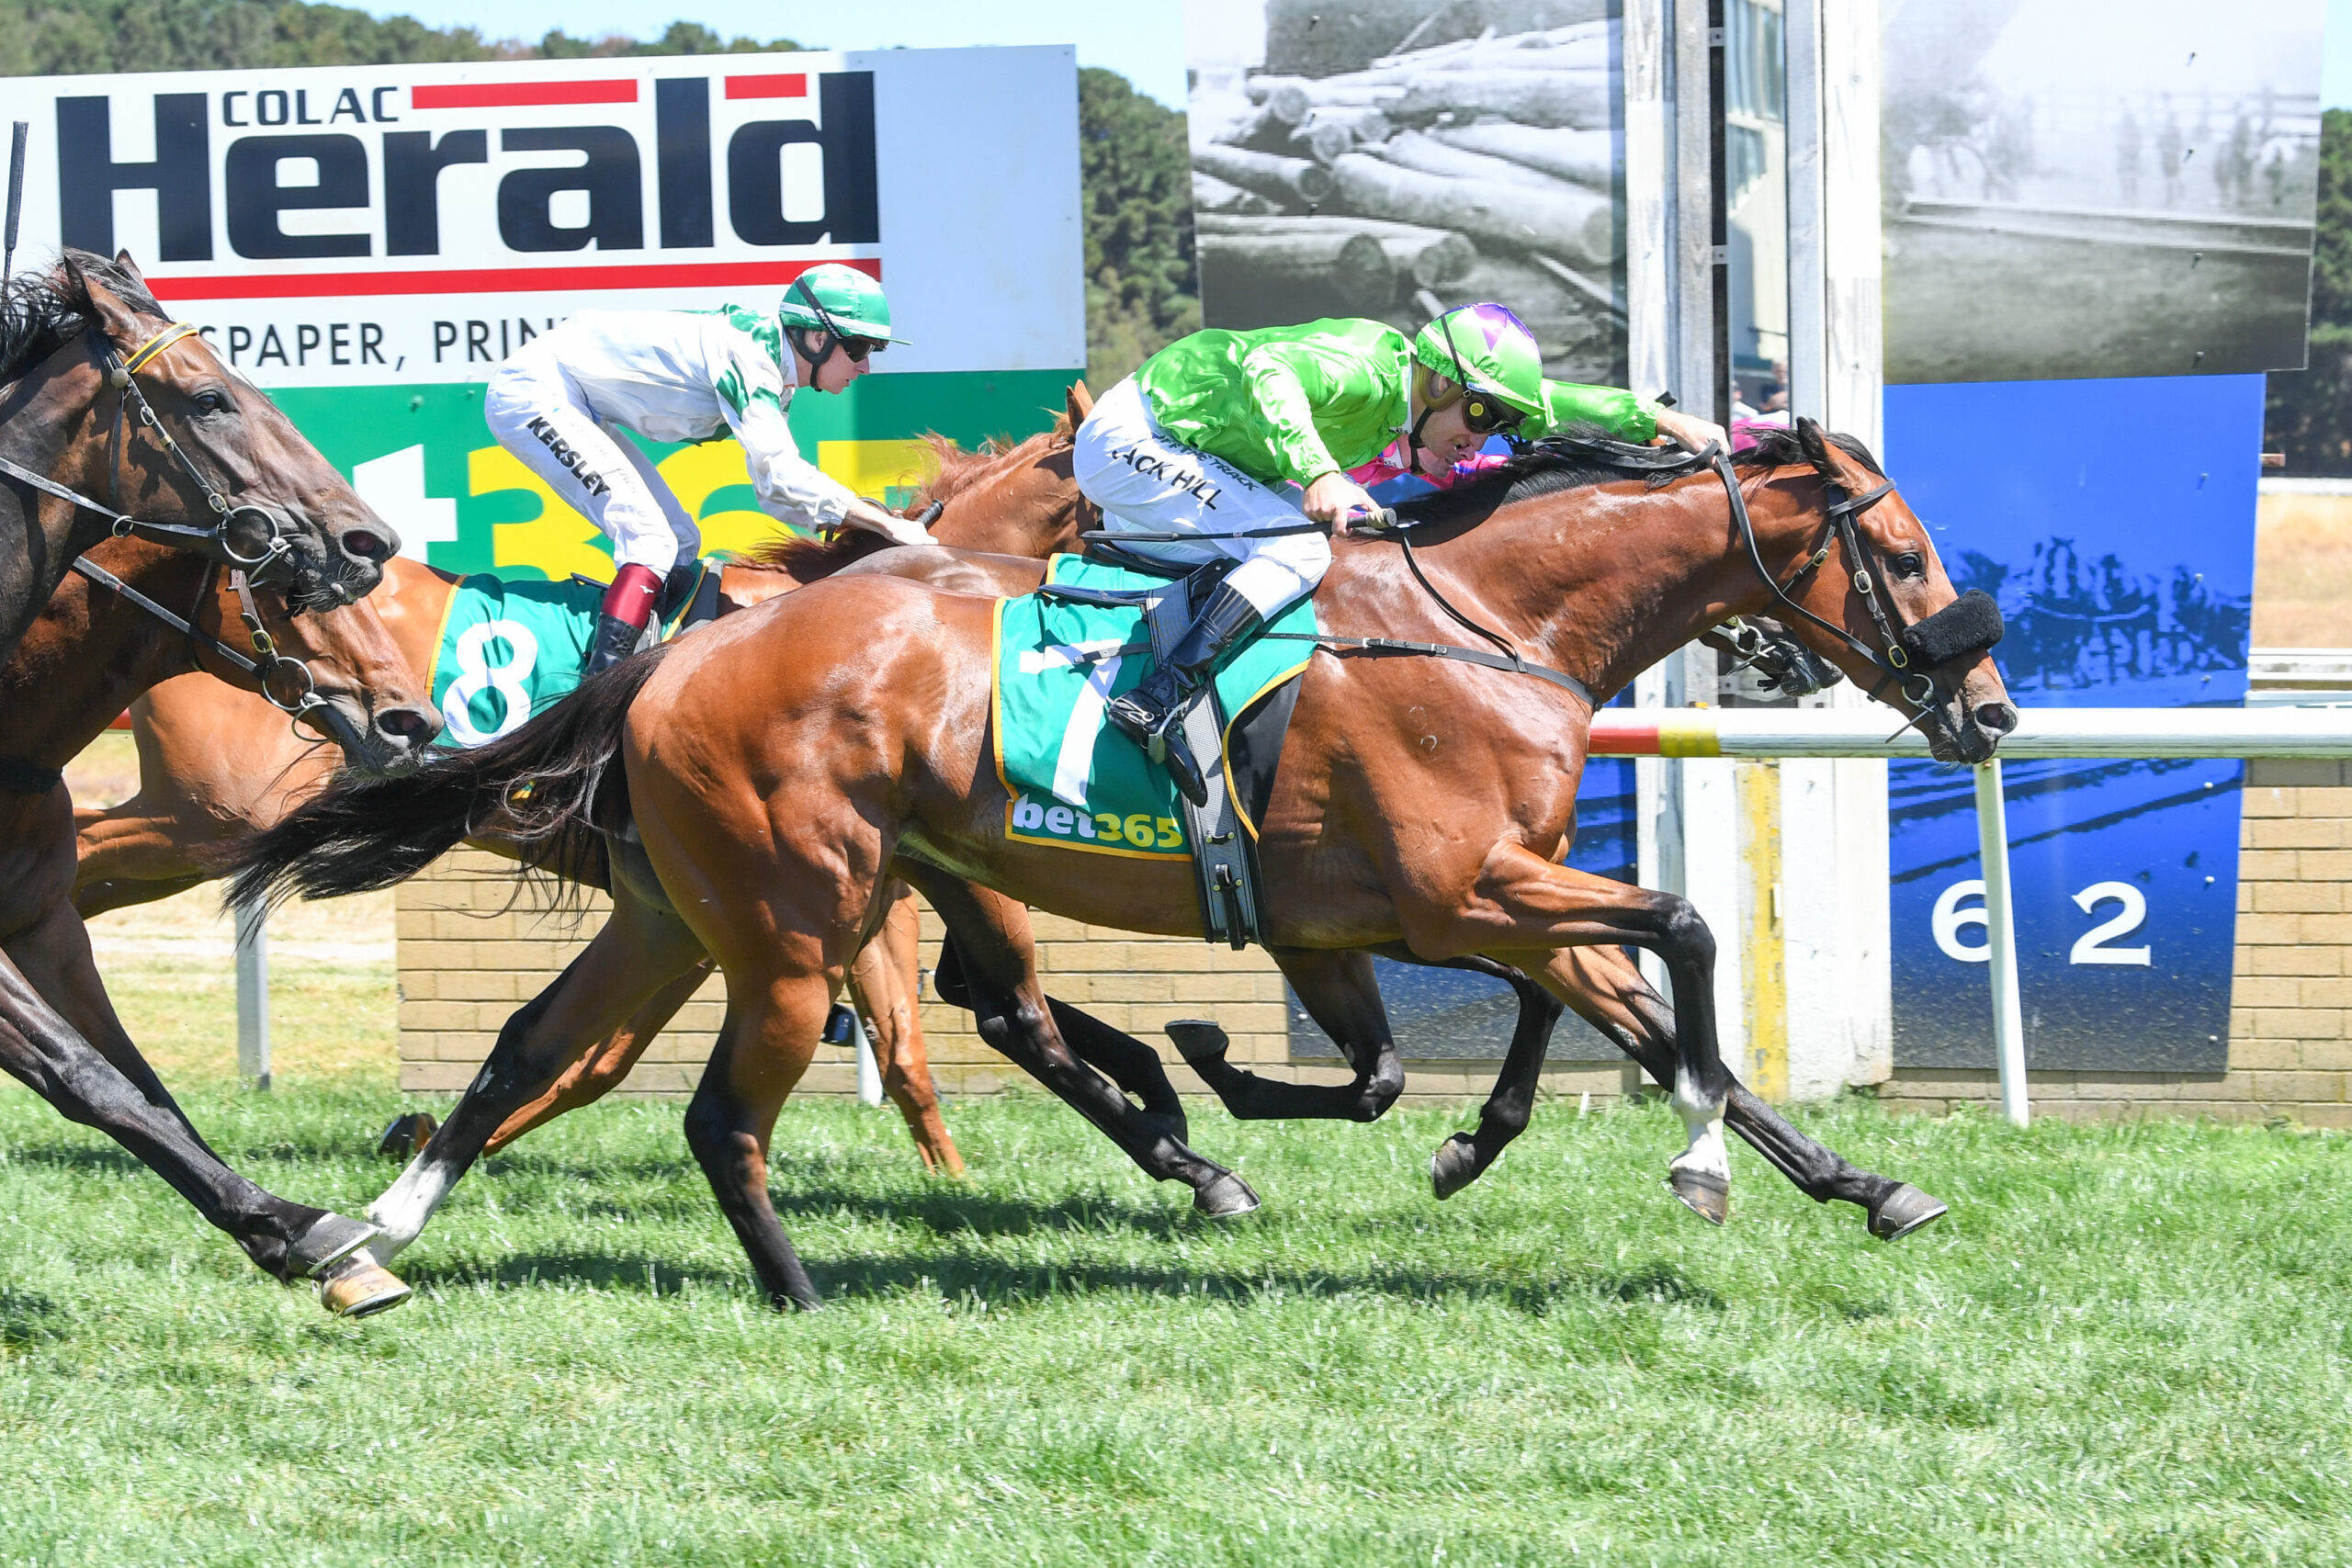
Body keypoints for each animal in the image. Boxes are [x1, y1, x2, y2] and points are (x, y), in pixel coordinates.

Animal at [0, 252, 434, 1314]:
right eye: (208, 398)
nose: (366, 539)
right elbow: (86, 1076)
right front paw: (311, 1228)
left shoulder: (43, 922)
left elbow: (138, 1080)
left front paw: (296, 1231)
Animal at [71, 398, 1102, 1175]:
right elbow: (610, 1059)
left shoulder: (832, 893)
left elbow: (897, 1043)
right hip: (210, 817)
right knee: (75, 860)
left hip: (190, 828)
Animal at [230, 420, 2016, 1310]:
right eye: (1902, 547)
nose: (1990, 704)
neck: (1487, 622)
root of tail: (681, 653)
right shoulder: (1457, 887)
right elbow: (1683, 938)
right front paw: (1692, 1159)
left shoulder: (1425, 903)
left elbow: (1595, 1014)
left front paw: (1857, 1181)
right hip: (799, 927)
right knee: (723, 1112)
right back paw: (803, 1288)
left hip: (682, 915)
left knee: (535, 1054)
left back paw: (375, 1229)